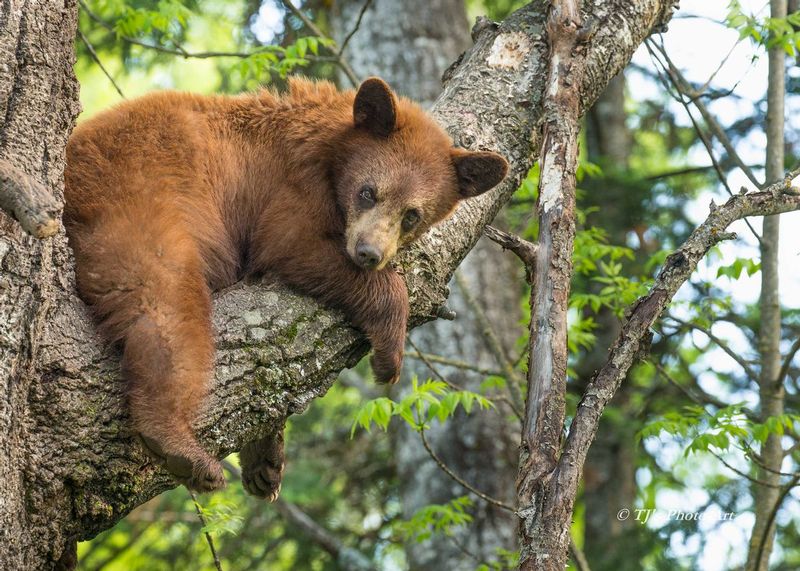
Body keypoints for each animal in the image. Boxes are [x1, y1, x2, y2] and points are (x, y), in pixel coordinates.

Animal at [63, 76, 508, 496]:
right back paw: (176, 442)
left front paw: (265, 455)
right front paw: (389, 354)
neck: (329, 151)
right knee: (166, 303)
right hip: (135, 201)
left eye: (412, 215)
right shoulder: (291, 184)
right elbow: (289, 242)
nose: (368, 253)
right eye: (368, 192)